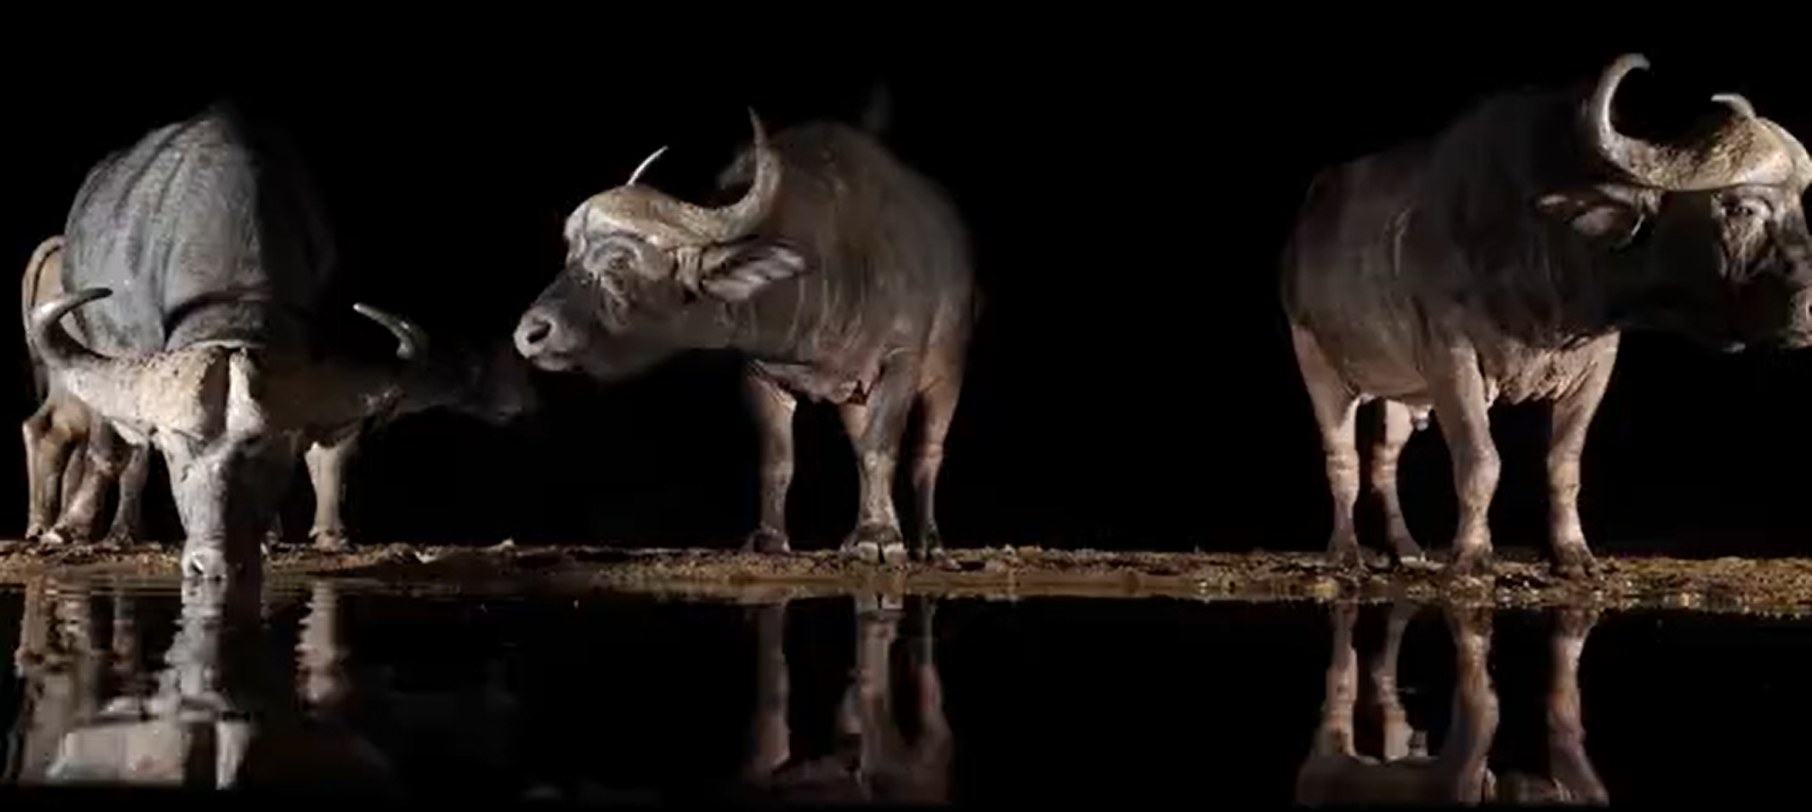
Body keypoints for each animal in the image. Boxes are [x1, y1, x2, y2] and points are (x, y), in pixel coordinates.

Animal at [26, 103, 478, 579]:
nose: (217, 557)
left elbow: (329, 448)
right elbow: (115, 449)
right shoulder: (116, 357)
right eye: (179, 449)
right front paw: (71, 528)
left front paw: (317, 534)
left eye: (271, 447)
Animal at [512, 96, 981, 565]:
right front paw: (769, 538)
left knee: (926, 454)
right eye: (570, 257)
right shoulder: (761, 375)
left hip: (945, 372)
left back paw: (929, 542)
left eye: (619, 262)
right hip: (854, 398)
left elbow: (882, 448)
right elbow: (779, 461)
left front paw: (880, 537)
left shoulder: (900, 360)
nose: (530, 333)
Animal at [1281, 54, 1812, 578]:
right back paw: (1344, 552)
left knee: (1383, 461)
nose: (1806, 311)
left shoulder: (1595, 366)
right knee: (1342, 460)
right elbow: (1480, 461)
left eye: (1798, 207)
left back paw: (1406, 548)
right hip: (1317, 362)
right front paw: (1471, 554)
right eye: (1741, 208)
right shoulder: (1451, 359)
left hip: (1401, 392)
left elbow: (1563, 464)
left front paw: (1572, 553)